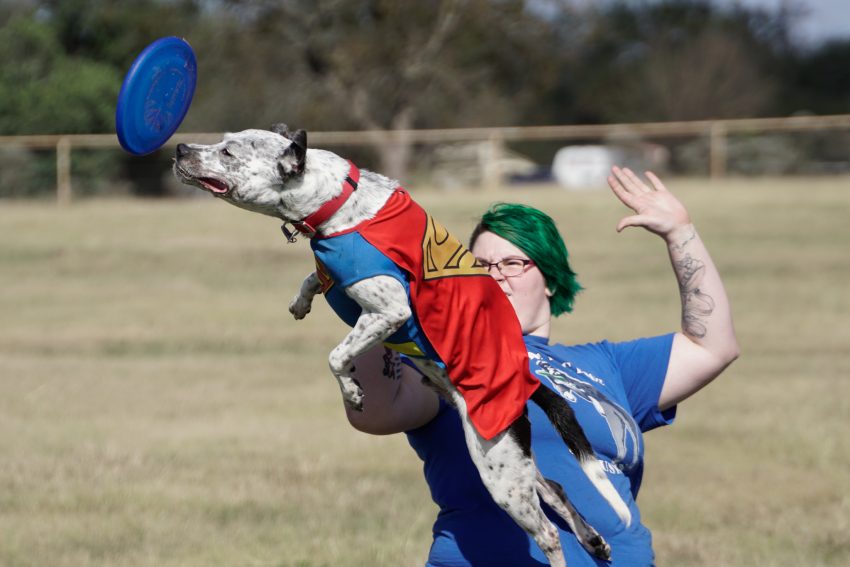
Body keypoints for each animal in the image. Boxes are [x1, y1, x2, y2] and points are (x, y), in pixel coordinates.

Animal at [172, 125, 628, 567]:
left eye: (229, 152)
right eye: (223, 141)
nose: (179, 149)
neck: (339, 201)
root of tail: (528, 380)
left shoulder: (388, 312)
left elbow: (336, 357)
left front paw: (353, 391)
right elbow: (312, 277)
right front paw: (301, 301)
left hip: (498, 469)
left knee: (548, 533)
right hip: (509, 457)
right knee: (555, 488)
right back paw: (594, 540)